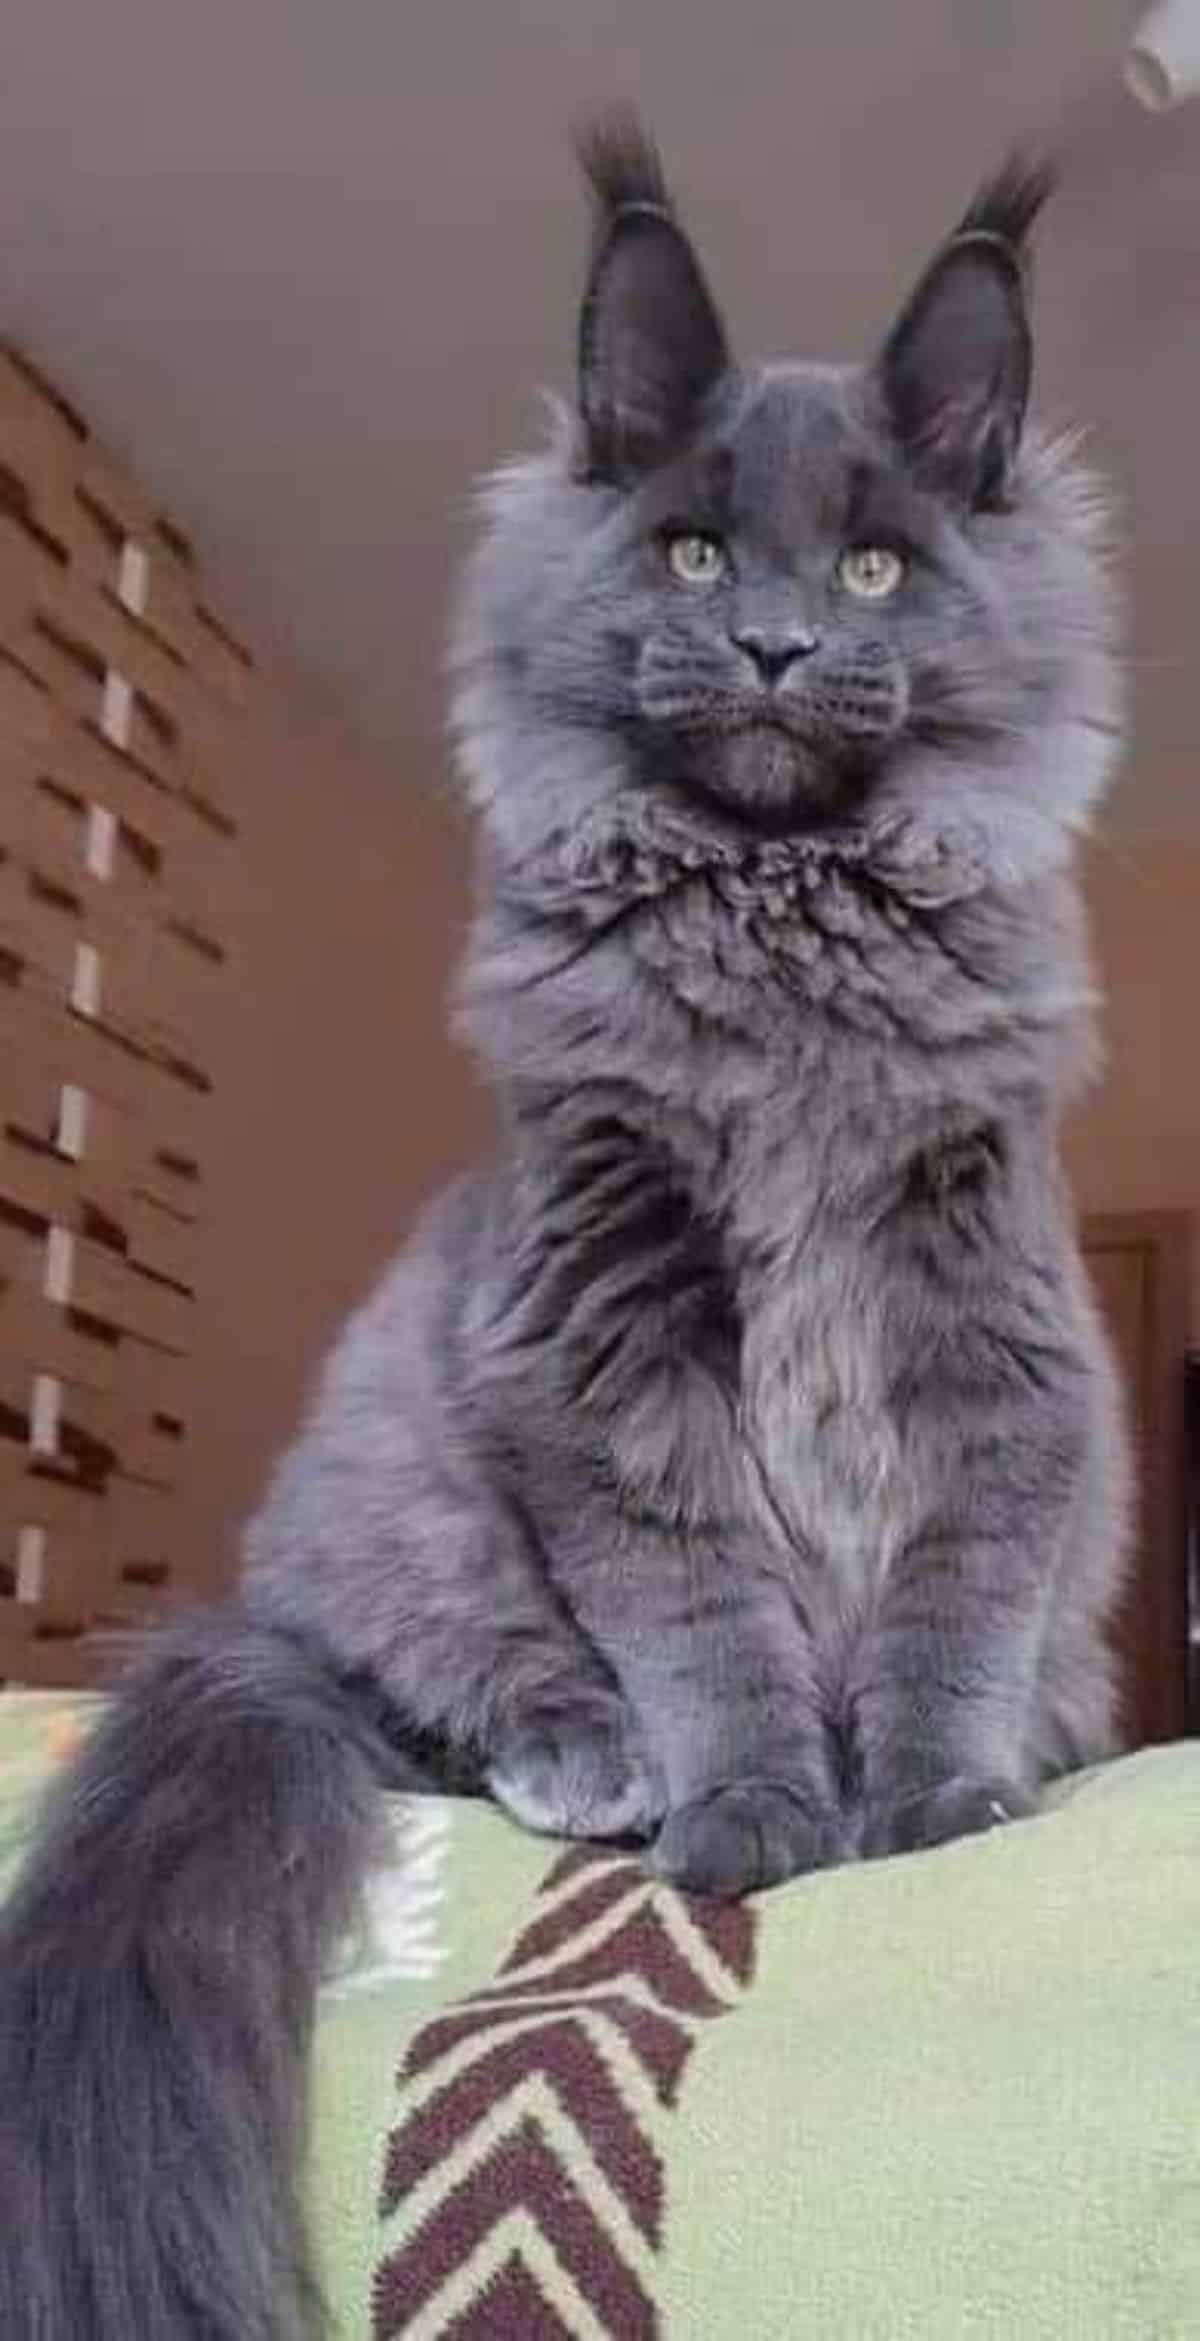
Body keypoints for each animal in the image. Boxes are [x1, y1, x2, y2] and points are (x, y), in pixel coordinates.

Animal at [0, 114, 1122, 2341]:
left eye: (874, 568)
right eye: (691, 557)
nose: (774, 645)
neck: (787, 955)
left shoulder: (991, 1327)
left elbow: (957, 1602)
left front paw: (939, 1806)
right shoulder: (599, 1339)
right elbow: (704, 1622)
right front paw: (760, 1819)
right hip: (406, 1504)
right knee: (450, 1691)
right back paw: (593, 1768)